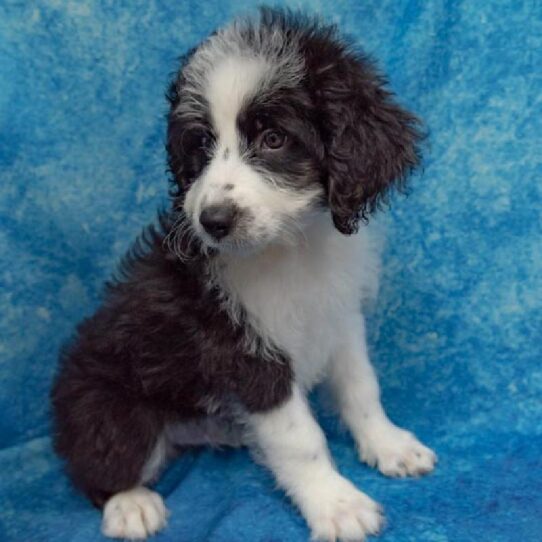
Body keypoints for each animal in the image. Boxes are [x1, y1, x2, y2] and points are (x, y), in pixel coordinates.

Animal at [52, 8, 438, 542]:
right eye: (201, 144)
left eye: (274, 139)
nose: (212, 220)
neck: (292, 250)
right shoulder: (244, 351)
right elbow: (301, 438)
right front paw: (337, 505)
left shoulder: (339, 317)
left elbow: (361, 385)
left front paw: (389, 445)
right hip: (108, 403)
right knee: (98, 464)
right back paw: (130, 504)